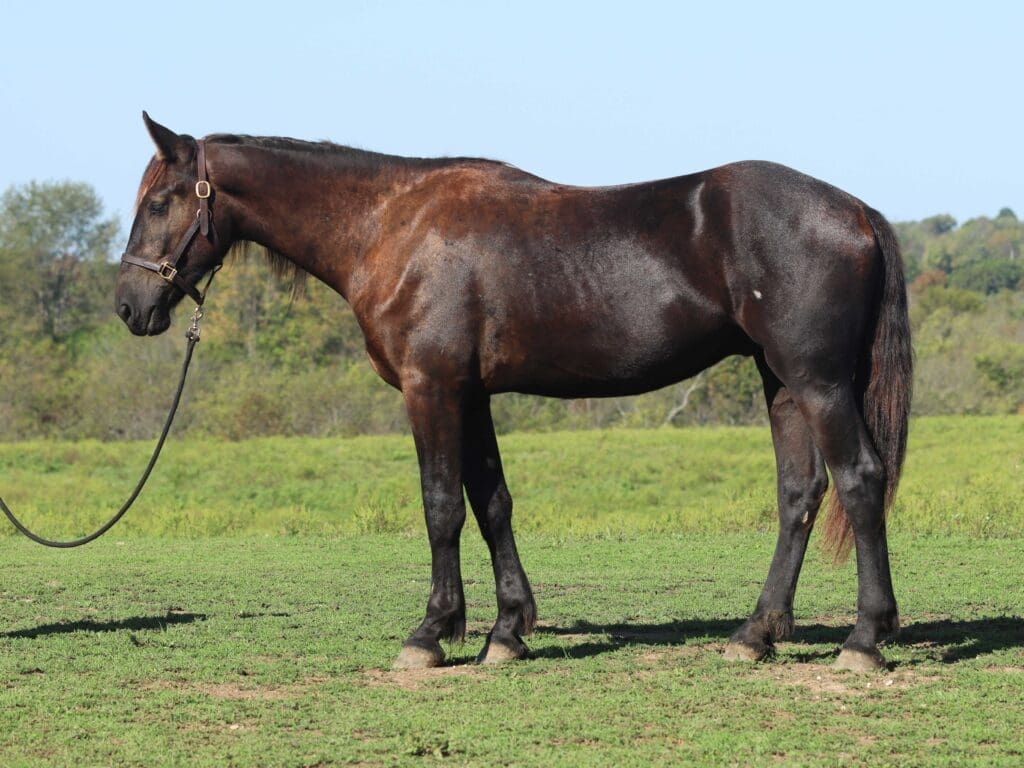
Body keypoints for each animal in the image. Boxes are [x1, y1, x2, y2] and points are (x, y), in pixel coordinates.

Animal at [116, 113, 912, 672]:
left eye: (160, 201)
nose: (129, 306)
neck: (391, 225)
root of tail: (856, 210)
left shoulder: (431, 389)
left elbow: (441, 505)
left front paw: (430, 634)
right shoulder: (471, 396)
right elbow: (490, 502)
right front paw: (506, 631)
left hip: (818, 381)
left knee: (859, 480)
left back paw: (863, 640)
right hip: (781, 383)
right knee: (799, 495)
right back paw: (756, 634)